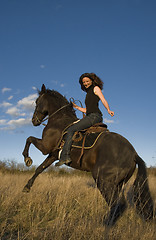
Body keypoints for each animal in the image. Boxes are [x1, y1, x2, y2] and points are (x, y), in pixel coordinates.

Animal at [22, 85, 154, 227]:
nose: (34, 121)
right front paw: (27, 187)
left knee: (116, 204)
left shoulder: (45, 147)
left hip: (103, 180)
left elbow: (29, 138)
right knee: (120, 204)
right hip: (118, 184)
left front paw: (27, 159)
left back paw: (105, 224)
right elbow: (39, 168)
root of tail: (134, 154)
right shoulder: (53, 155)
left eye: (37, 101)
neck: (59, 121)